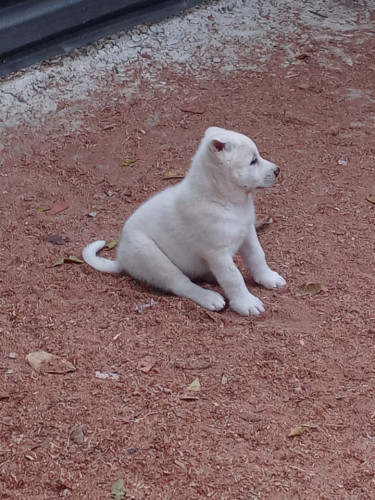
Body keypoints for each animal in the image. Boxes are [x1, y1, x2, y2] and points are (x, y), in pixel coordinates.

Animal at [83, 127, 286, 314]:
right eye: (253, 161)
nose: (277, 170)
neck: (224, 200)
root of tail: (121, 259)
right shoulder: (217, 253)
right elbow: (233, 277)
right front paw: (246, 303)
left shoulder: (248, 233)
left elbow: (257, 256)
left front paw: (268, 277)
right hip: (152, 256)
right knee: (181, 283)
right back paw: (208, 297)